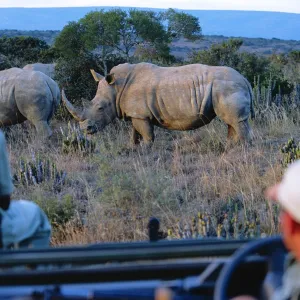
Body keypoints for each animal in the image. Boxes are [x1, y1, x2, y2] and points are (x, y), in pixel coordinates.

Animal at [62, 62, 254, 145]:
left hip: (227, 87)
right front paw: (134, 148)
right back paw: (231, 148)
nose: (86, 129)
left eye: (100, 108)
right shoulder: (136, 114)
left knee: (236, 121)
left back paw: (242, 150)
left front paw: (146, 150)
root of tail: (245, 79)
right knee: (232, 122)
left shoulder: (141, 114)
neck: (115, 89)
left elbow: (147, 136)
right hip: (226, 87)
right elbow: (135, 134)